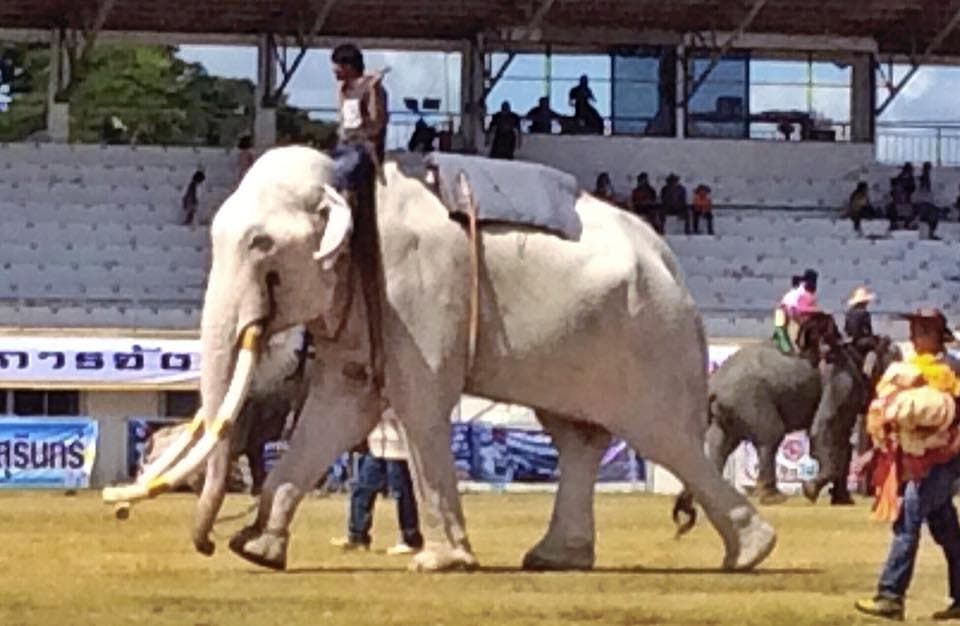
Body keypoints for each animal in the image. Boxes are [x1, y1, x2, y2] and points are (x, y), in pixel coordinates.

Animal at [105, 145, 776, 572]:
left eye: (261, 245)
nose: (208, 545)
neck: (351, 184)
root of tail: (670, 258)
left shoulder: (417, 288)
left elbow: (417, 401)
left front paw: (440, 563)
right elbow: (340, 405)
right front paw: (257, 552)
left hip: (648, 338)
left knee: (664, 439)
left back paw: (752, 553)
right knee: (578, 438)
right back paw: (553, 560)